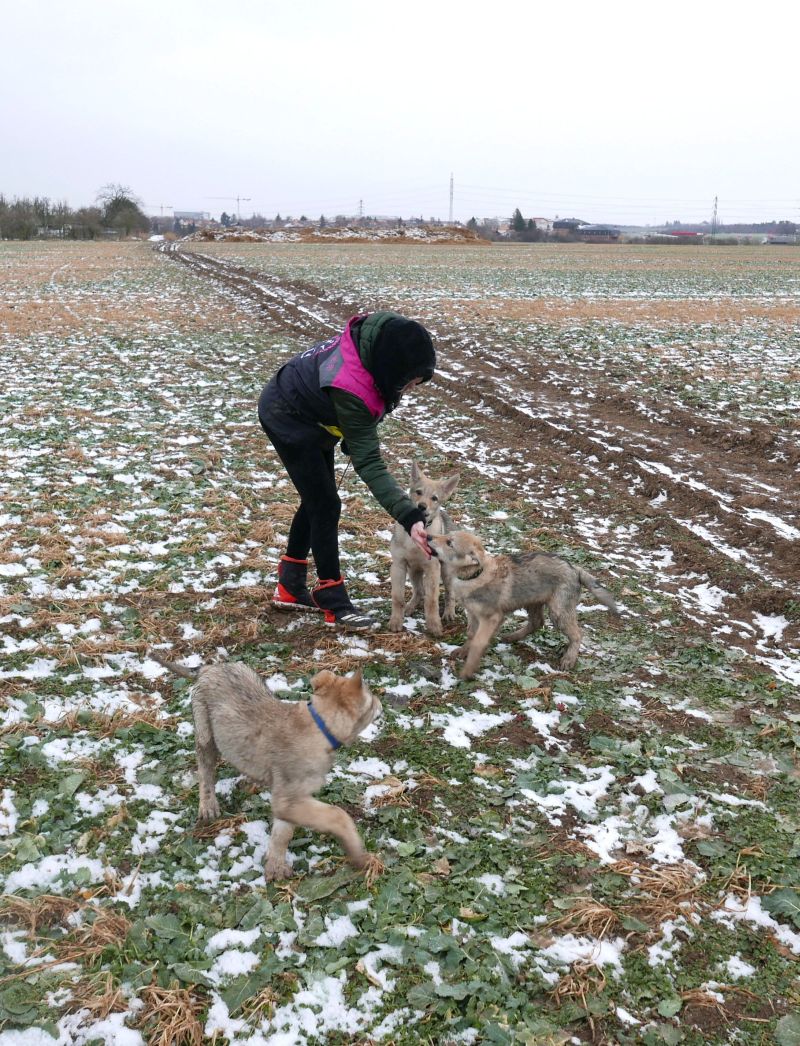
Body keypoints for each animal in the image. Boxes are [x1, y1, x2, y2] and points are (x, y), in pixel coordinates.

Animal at [155, 656, 384, 878]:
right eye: (371, 699)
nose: (381, 703)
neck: (320, 727)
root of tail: (209, 668)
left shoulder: (291, 800)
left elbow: (282, 834)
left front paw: (275, 866)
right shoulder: (287, 799)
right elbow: (338, 814)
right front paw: (358, 854)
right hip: (205, 736)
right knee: (205, 773)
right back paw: (208, 805)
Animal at [389, 460, 458, 635]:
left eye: (434, 498)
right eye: (418, 492)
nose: (422, 506)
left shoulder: (433, 568)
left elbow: (431, 600)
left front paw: (434, 625)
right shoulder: (398, 565)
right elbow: (397, 598)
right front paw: (396, 621)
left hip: (445, 571)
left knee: (449, 593)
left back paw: (449, 612)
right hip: (413, 571)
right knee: (419, 591)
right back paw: (410, 607)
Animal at [424, 531, 619, 677]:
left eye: (449, 543)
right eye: (446, 536)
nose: (428, 536)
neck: (474, 576)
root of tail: (575, 569)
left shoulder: (493, 617)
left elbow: (479, 642)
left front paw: (468, 670)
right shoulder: (473, 613)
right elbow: (471, 635)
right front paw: (463, 651)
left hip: (558, 612)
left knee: (577, 634)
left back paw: (569, 659)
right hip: (532, 603)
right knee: (537, 623)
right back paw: (512, 637)